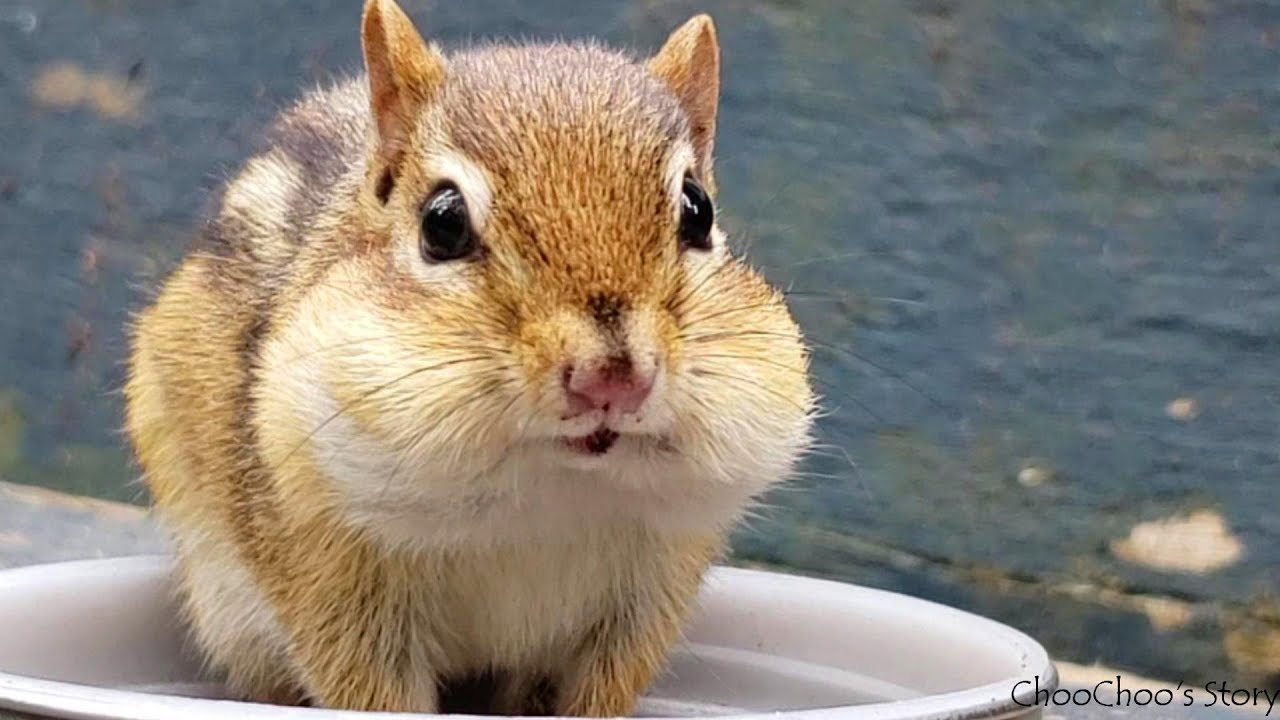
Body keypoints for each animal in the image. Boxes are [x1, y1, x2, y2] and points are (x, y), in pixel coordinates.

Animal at [124, 0, 814, 714]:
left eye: (697, 210)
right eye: (442, 222)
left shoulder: (644, 603)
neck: (555, 486)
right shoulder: (334, 579)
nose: (612, 380)